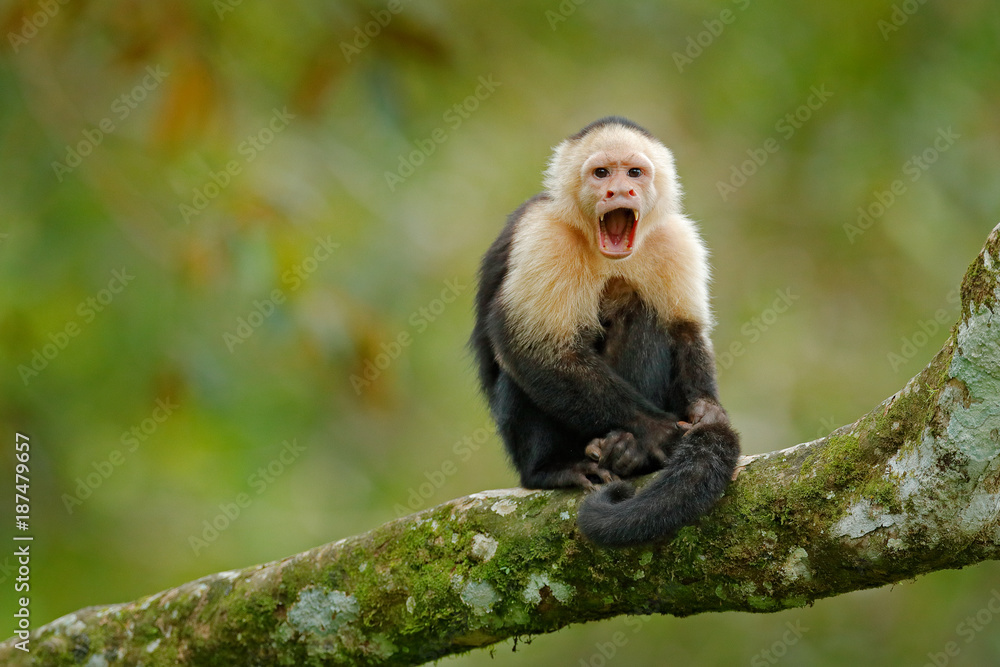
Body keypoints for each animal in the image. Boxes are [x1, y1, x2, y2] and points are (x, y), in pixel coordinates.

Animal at [472, 117, 740, 544]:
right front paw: (660, 433)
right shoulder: (543, 236)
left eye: (634, 173)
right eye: (601, 174)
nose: (620, 190)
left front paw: (707, 410)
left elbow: (685, 331)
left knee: (641, 308)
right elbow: (533, 345)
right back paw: (553, 467)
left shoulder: (676, 240)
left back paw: (626, 452)